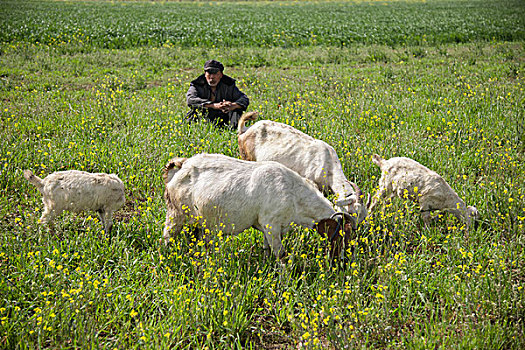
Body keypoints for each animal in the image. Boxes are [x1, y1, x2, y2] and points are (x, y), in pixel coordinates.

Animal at [162, 153, 354, 260]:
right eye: (341, 237)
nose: (342, 261)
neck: (293, 193)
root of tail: (183, 165)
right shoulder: (271, 225)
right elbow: (281, 254)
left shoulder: (266, 227)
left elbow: (267, 249)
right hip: (175, 214)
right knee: (166, 237)